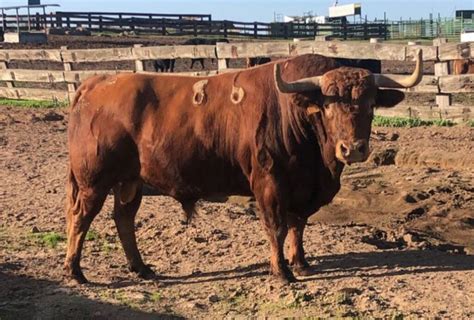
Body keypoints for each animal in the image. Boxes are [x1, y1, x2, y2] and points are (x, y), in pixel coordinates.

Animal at [64, 49, 422, 282]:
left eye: (371, 104)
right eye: (328, 106)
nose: (353, 149)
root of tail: (96, 82)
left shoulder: (302, 189)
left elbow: (298, 226)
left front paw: (301, 263)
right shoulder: (269, 184)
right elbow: (276, 228)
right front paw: (282, 272)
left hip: (130, 181)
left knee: (123, 219)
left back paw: (140, 268)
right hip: (93, 180)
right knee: (80, 218)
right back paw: (75, 271)